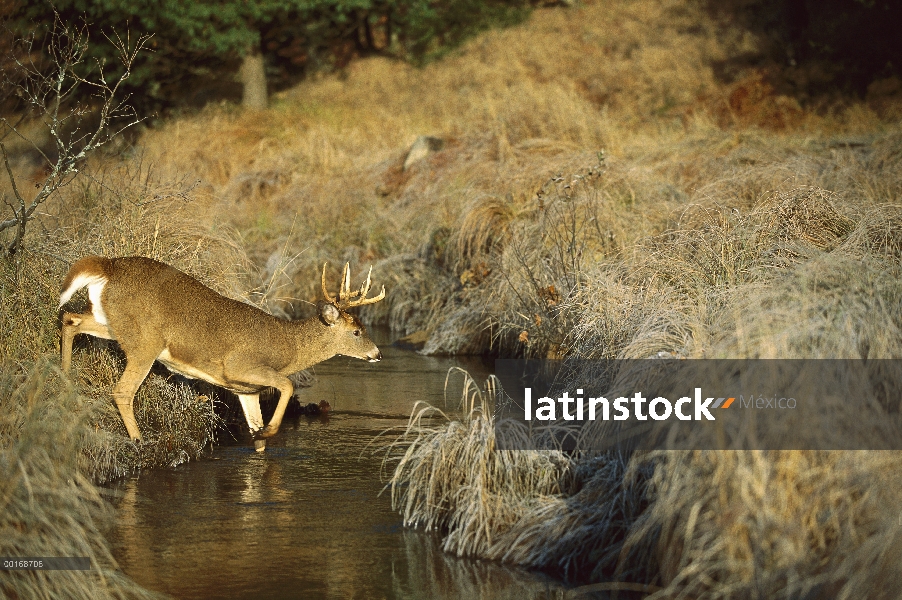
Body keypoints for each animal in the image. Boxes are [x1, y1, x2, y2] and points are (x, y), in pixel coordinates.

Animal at [59, 256, 384, 450]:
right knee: (122, 391)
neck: (286, 347)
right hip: (145, 342)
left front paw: (259, 439)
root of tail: (107, 265)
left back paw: (63, 378)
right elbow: (288, 385)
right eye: (357, 332)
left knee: (70, 319)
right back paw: (139, 442)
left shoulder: (246, 390)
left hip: (112, 323)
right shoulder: (239, 367)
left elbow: (257, 437)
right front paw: (267, 431)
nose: (378, 354)